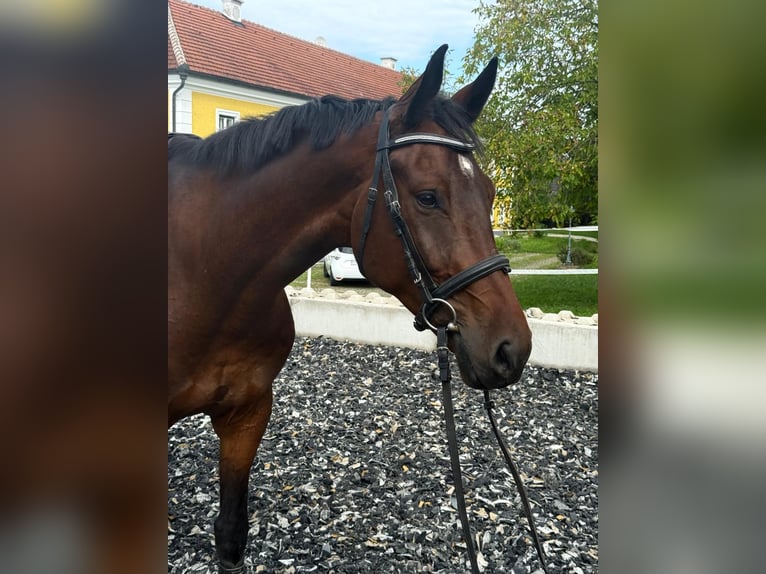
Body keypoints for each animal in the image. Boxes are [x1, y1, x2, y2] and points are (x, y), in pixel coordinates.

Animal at [168, 44, 532, 573]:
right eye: (428, 197)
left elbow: (230, 533)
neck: (203, 272)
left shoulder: (246, 414)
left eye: (490, 194)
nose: (512, 349)